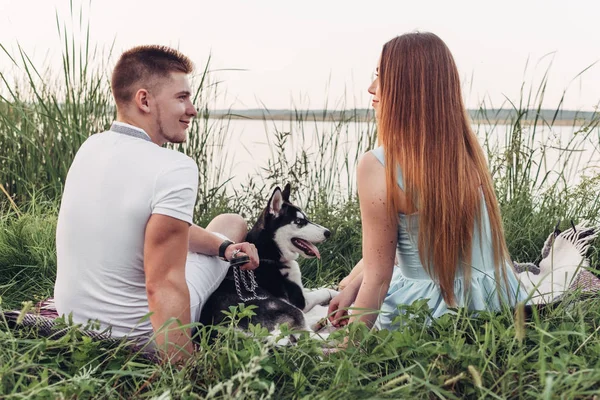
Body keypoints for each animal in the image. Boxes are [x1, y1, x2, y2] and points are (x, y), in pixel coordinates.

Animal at [198, 184, 336, 332]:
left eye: (306, 219)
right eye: (299, 221)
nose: (328, 233)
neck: (268, 255)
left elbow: (319, 287)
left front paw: (334, 284)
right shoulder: (301, 301)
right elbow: (324, 291)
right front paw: (335, 293)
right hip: (288, 308)